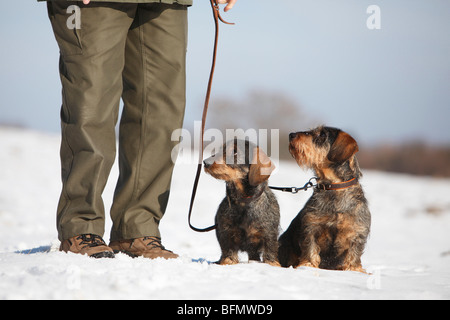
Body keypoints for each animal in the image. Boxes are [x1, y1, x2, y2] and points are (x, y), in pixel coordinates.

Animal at [280, 126, 370, 272]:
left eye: (322, 134)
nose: (291, 135)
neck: (333, 187)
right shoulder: (311, 227)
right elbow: (310, 249)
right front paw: (308, 265)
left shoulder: (358, 233)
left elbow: (353, 255)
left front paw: (354, 270)